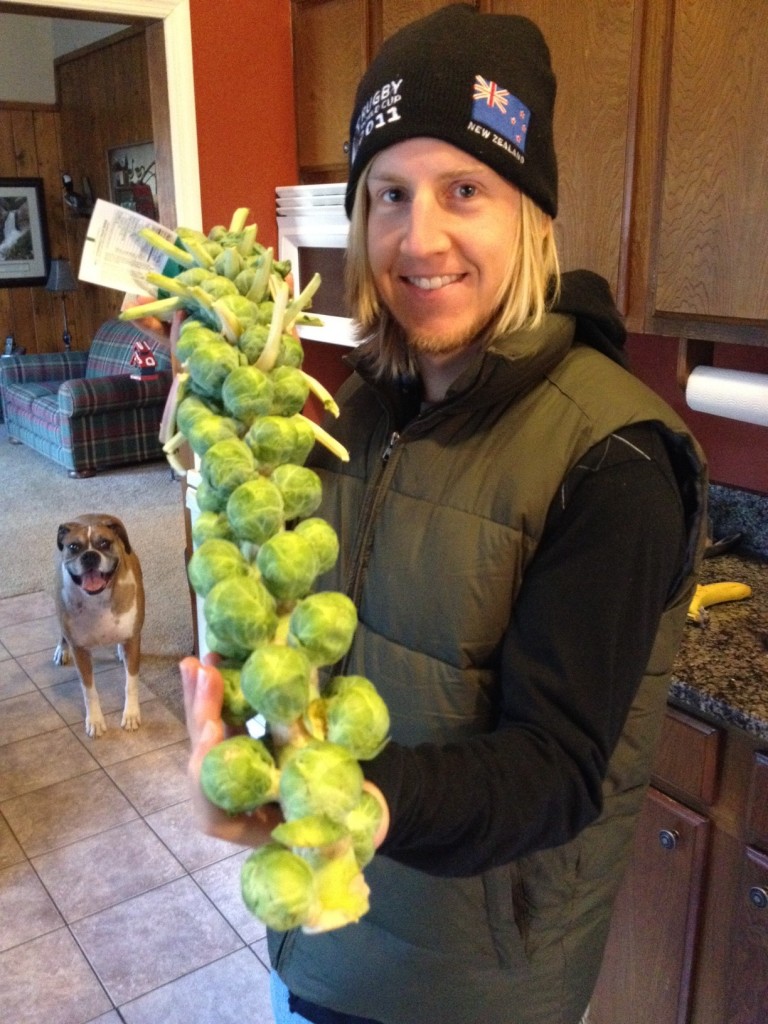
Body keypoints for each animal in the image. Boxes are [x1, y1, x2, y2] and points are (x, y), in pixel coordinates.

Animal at [54, 516, 145, 741]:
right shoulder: (80, 651)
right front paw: (95, 721)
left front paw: (131, 715)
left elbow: (131, 683)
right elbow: (89, 692)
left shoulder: (133, 640)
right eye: (74, 547)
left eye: (104, 543)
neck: (97, 599)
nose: (90, 555)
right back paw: (61, 649)